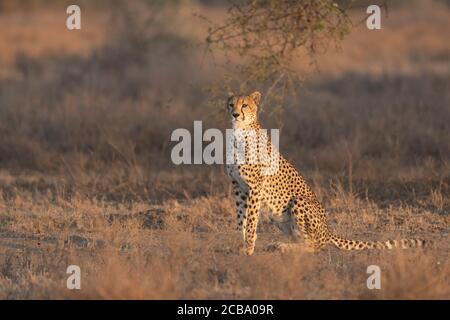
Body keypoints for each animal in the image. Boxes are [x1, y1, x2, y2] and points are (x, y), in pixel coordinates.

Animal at [225, 91, 426, 256]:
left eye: (245, 105)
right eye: (231, 104)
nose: (235, 114)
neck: (239, 133)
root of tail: (328, 231)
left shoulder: (255, 186)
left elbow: (251, 220)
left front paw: (248, 248)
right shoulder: (238, 186)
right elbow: (241, 217)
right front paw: (239, 243)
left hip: (299, 201)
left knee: (315, 245)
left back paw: (284, 247)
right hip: (277, 216)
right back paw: (280, 245)